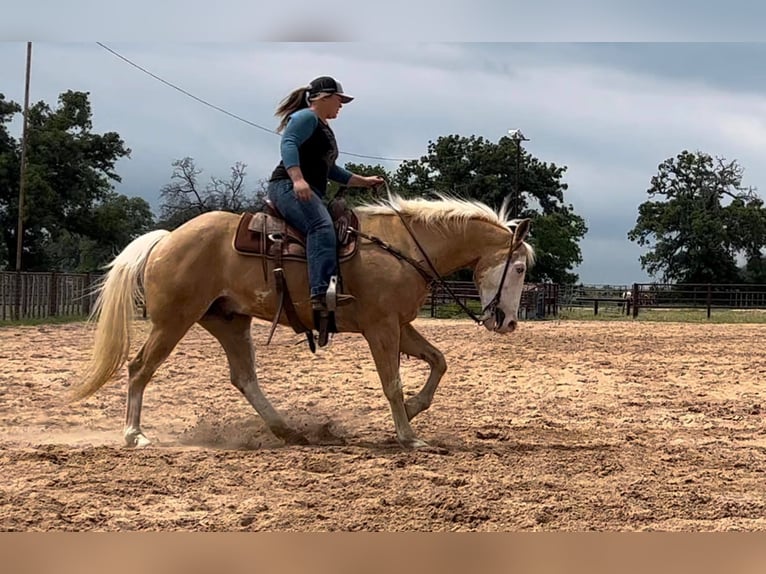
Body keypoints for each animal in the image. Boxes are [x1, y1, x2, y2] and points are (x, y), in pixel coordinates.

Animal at [69, 191, 536, 452]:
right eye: (518, 269)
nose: (509, 322)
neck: (403, 248)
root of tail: (167, 239)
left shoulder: (401, 325)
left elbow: (439, 361)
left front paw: (414, 411)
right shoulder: (381, 327)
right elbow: (392, 383)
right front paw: (409, 437)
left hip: (229, 321)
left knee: (244, 377)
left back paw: (288, 431)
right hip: (174, 320)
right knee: (139, 368)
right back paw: (134, 435)